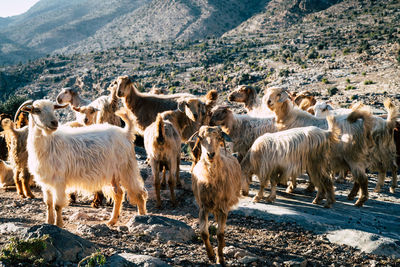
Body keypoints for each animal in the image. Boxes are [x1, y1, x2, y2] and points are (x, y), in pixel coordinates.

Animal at [17, 100, 147, 228]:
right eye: (37, 110)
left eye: (53, 109)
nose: (54, 123)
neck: (49, 142)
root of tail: (126, 133)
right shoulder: (46, 182)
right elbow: (48, 204)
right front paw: (48, 222)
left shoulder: (59, 180)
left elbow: (57, 205)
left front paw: (58, 224)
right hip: (113, 174)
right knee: (118, 193)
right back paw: (112, 221)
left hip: (126, 169)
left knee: (139, 193)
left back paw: (141, 218)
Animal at [191, 126, 244, 266]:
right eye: (200, 138)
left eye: (218, 138)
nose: (210, 154)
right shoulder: (203, 207)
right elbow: (204, 233)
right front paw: (210, 255)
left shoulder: (223, 208)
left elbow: (220, 234)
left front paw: (220, 258)